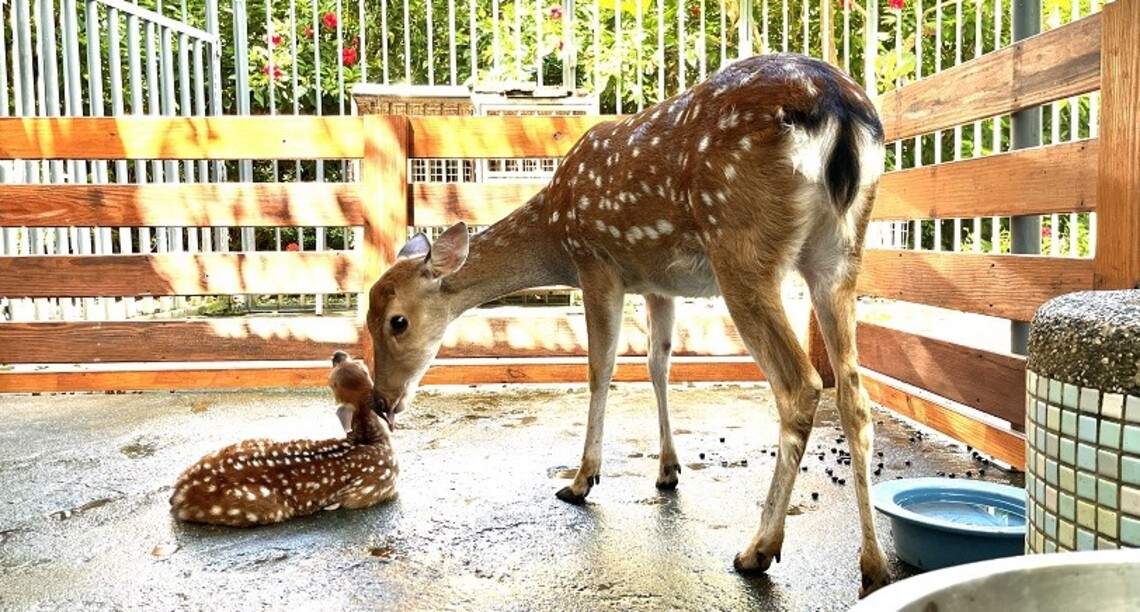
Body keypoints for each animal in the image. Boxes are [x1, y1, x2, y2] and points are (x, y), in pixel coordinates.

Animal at [170, 351, 398, 527]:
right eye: (331, 380)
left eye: (360, 367)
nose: (337, 354)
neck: (373, 441)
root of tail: (178, 495)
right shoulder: (371, 490)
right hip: (263, 506)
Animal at [365, 53, 890, 595]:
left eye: (397, 322)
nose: (382, 399)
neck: (555, 231)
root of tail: (838, 107)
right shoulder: (659, 283)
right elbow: (658, 364)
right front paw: (668, 470)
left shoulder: (597, 262)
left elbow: (600, 369)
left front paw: (581, 481)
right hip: (840, 257)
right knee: (854, 394)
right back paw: (873, 565)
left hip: (742, 245)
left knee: (801, 384)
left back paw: (758, 549)